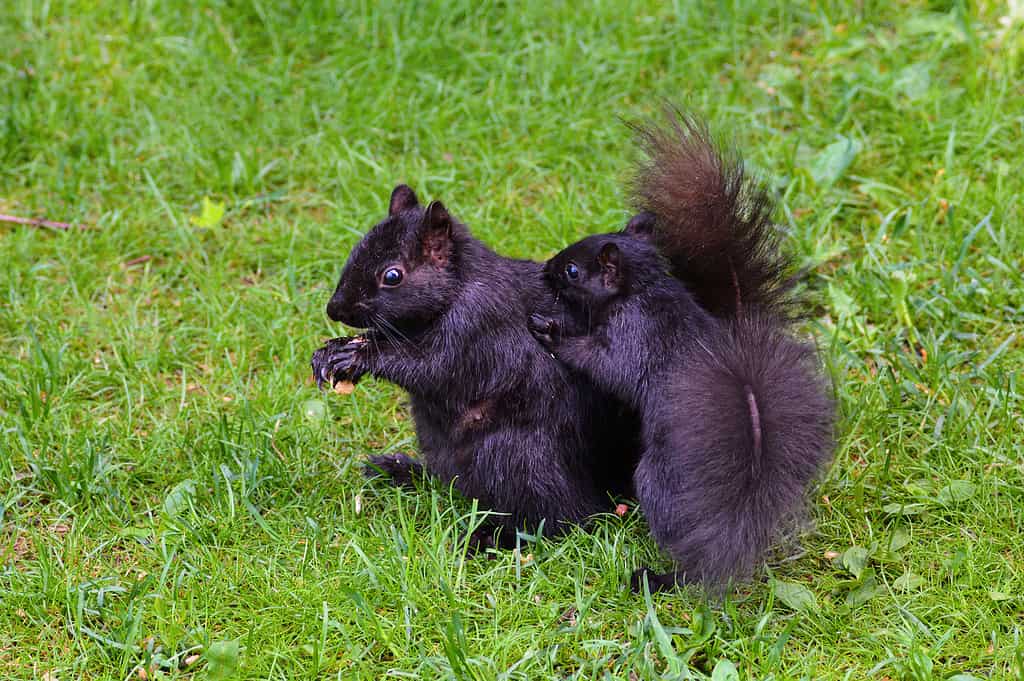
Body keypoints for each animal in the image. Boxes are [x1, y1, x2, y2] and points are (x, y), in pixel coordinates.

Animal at [309, 184, 638, 548]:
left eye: (392, 276)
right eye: (356, 249)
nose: (335, 309)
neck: (457, 288)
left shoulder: (477, 323)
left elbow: (431, 367)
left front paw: (357, 357)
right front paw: (333, 351)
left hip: (518, 457)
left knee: (563, 520)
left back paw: (490, 538)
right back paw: (404, 472)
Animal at [528, 110, 831, 589]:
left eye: (573, 270)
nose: (545, 268)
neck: (641, 288)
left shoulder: (634, 336)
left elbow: (606, 365)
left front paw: (552, 331)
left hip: (655, 481)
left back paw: (662, 577)